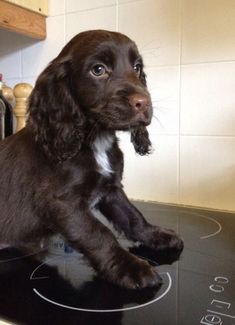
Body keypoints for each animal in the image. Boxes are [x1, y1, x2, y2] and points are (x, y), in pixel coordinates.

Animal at [0, 30, 183, 288]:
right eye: (98, 70)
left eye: (137, 67)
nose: (144, 102)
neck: (96, 140)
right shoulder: (62, 203)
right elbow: (98, 234)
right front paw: (132, 268)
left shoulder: (111, 189)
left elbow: (133, 217)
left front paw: (156, 235)